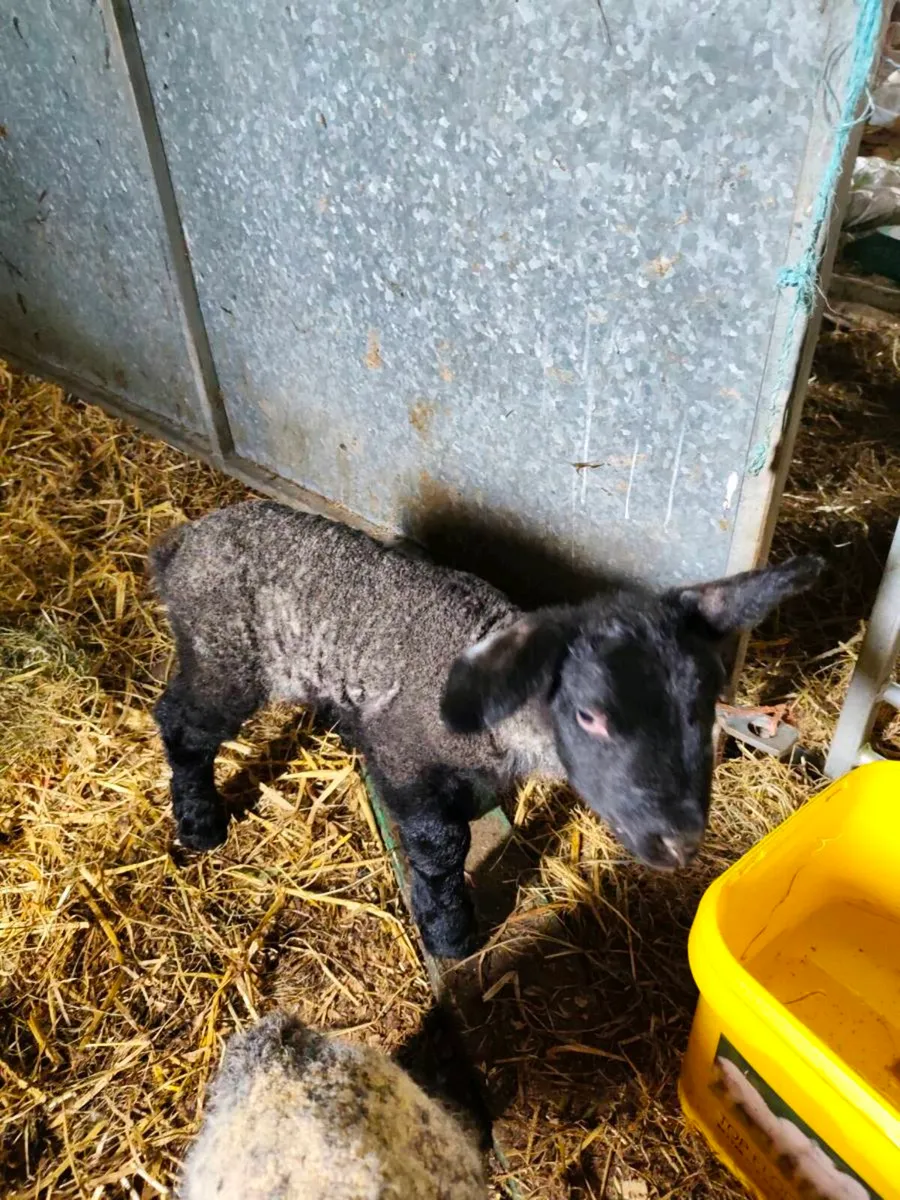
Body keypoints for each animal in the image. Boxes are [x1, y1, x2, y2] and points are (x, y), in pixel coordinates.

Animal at [150, 499, 823, 958]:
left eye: (704, 704)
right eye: (588, 715)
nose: (679, 841)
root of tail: (182, 541)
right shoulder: (403, 752)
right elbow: (441, 844)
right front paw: (450, 932)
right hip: (224, 655)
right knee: (182, 723)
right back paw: (200, 821)